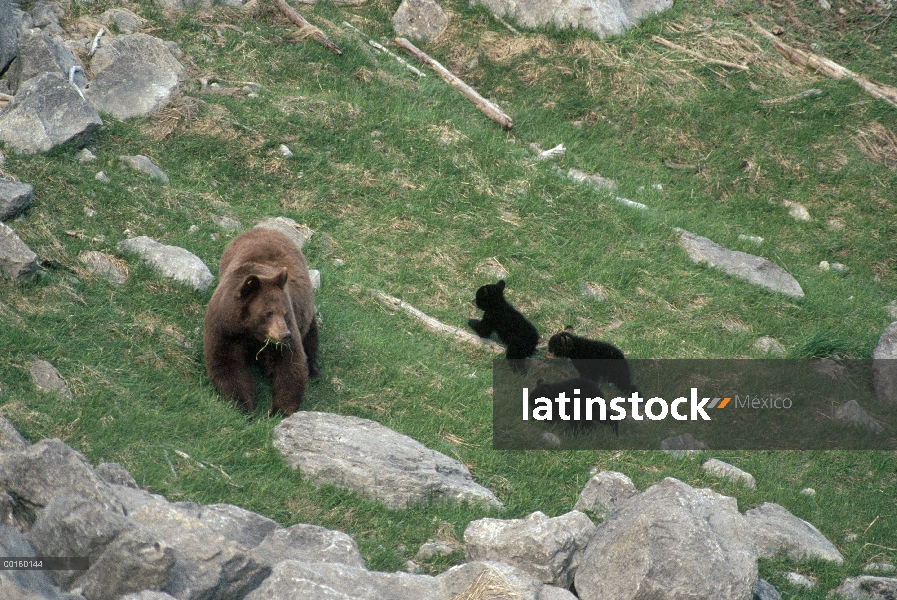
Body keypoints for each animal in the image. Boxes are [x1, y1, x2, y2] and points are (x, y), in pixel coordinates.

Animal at [203, 226, 318, 418]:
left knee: (310, 336)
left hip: (305, 311)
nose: (285, 335)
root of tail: (267, 228)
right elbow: (226, 363)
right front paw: (243, 405)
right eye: (268, 313)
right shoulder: (224, 328)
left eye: (285, 313)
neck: (250, 331)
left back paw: (314, 369)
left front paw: (279, 410)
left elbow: (289, 363)